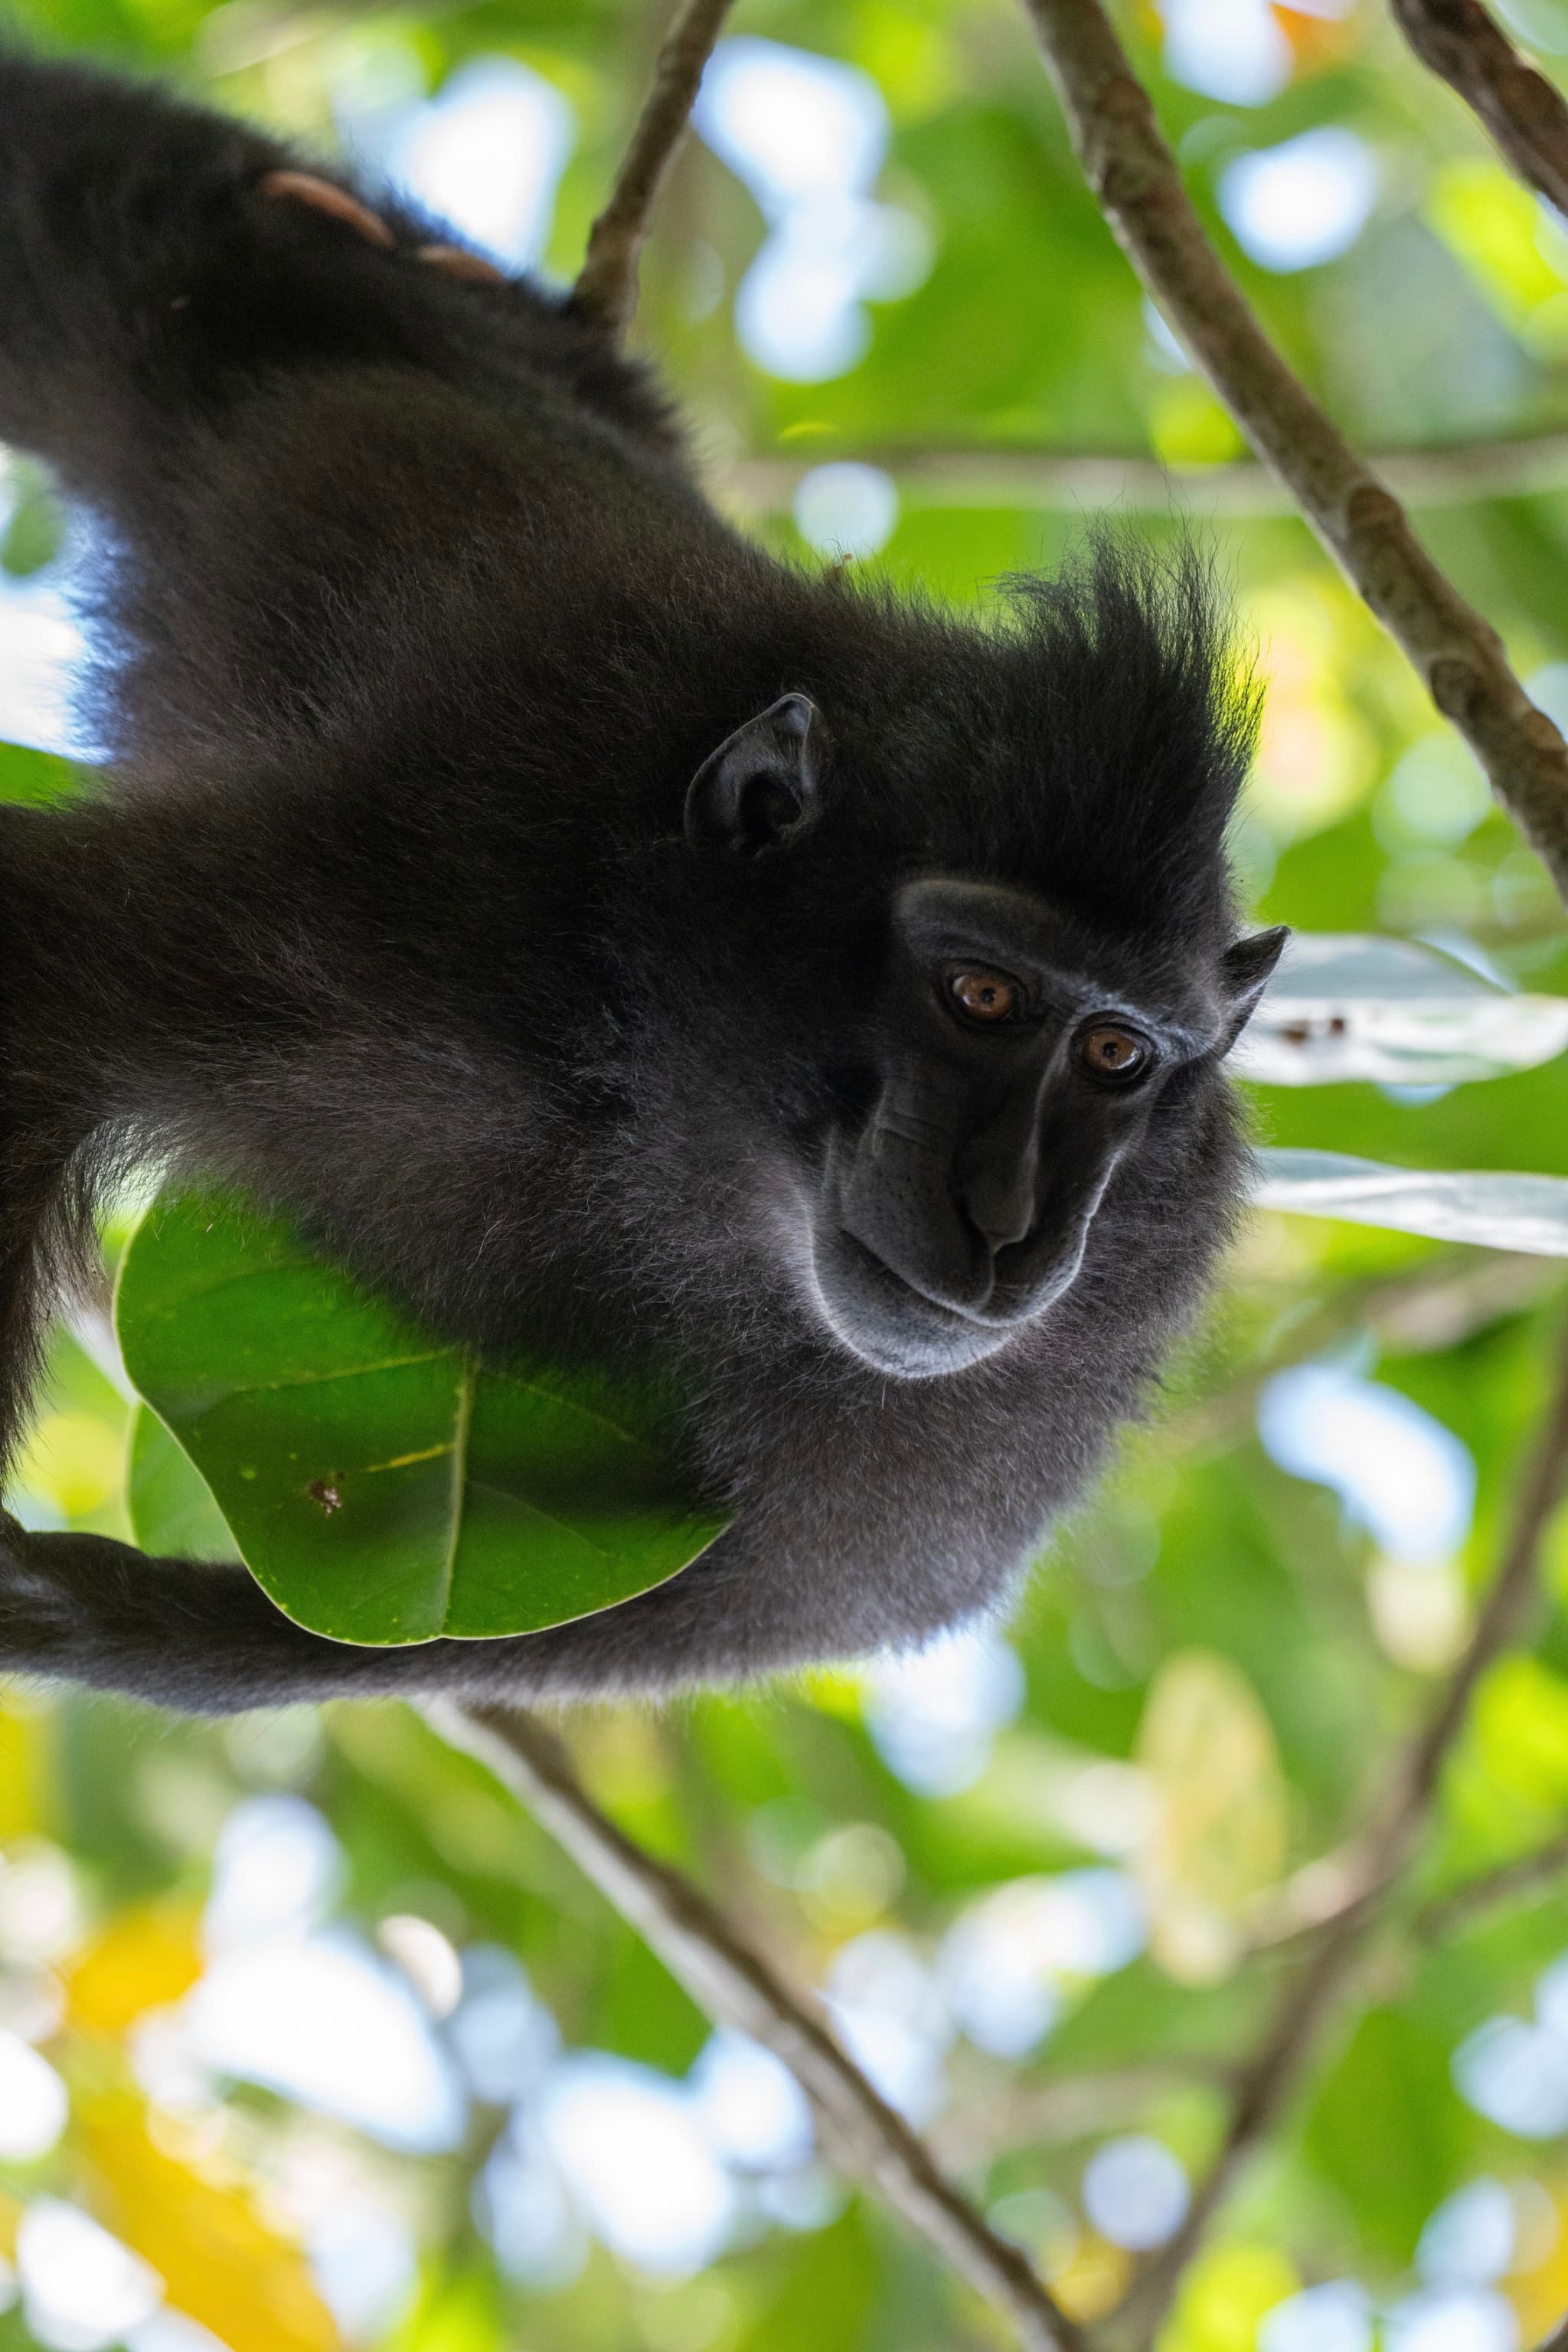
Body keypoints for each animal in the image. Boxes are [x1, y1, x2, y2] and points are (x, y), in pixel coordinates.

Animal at [0, 55, 1288, 1712]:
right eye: (979, 994)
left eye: (1118, 1053)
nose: (1010, 1219)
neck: (675, 1118)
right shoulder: (421, 897)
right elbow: (43, 969)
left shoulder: (1067, 1352)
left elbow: (790, 1595)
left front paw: (119, 1621)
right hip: (252, 282)